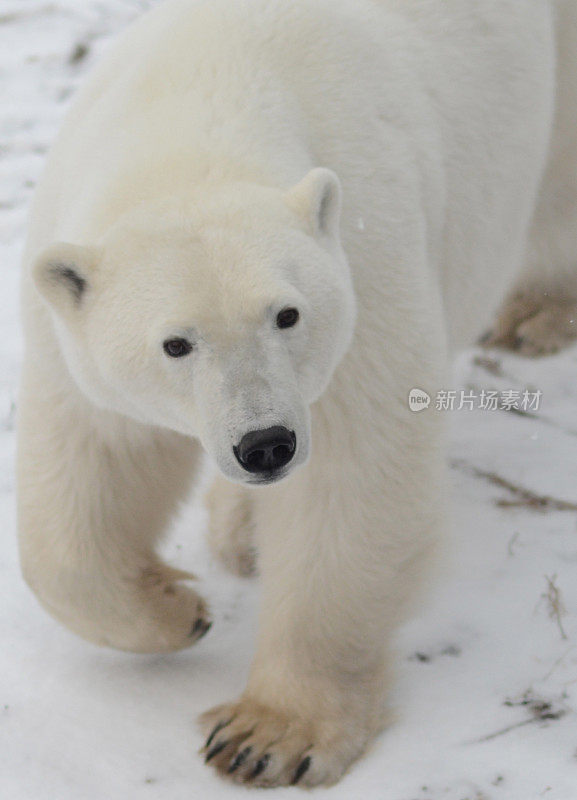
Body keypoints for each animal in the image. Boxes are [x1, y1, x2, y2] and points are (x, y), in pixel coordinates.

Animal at [16, 0, 576, 788]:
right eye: (176, 343)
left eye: (286, 314)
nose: (265, 445)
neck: (198, 110)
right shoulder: (69, 316)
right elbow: (90, 465)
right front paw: (177, 608)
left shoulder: (363, 265)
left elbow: (349, 479)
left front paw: (266, 735)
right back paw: (239, 532)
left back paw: (537, 314)